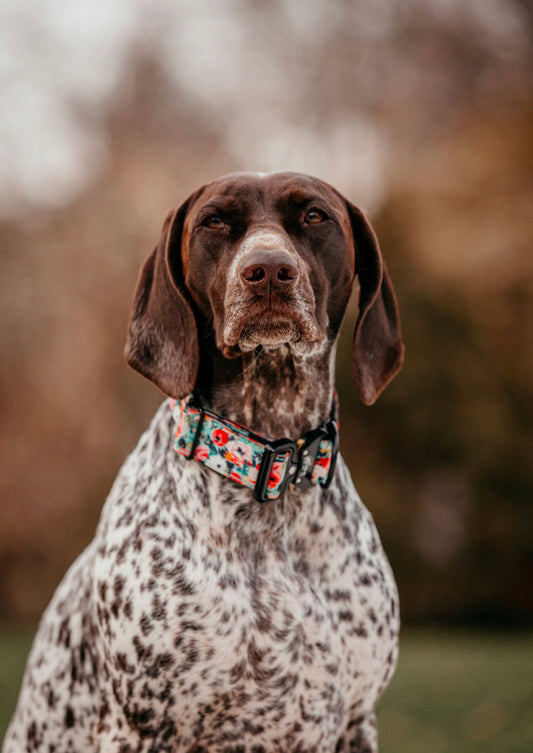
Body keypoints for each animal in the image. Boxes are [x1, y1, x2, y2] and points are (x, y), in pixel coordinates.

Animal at [3, 172, 404, 752]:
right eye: (214, 221)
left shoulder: (354, 723)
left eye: (314, 216)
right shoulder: (139, 728)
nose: (268, 272)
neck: (270, 469)